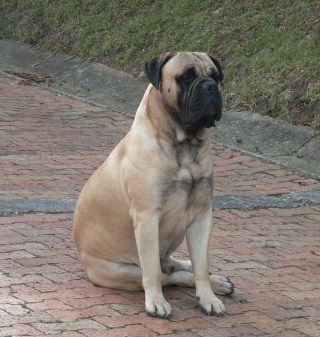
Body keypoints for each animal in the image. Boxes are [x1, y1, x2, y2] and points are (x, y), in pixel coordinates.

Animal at [74, 52, 235, 318]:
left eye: (215, 76)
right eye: (187, 76)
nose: (210, 86)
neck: (184, 144)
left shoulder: (202, 215)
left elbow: (202, 265)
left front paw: (208, 297)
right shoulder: (147, 217)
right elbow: (152, 271)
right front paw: (156, 302)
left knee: (179, 265)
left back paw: (216, 280)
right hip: (123, 271)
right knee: (165, 274)